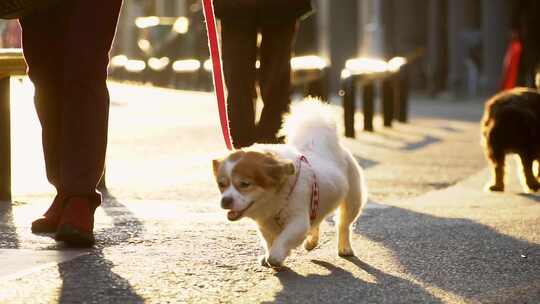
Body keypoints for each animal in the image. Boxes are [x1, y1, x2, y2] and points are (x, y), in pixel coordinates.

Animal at [211, 98, 368, 268]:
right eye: (221, 185)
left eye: (245, 184)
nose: (225, 200)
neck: (274, 198)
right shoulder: (264, 224)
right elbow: (269, 240)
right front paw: (268, 254)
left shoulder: (298, 221)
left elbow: (283, 240)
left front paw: (275, 257)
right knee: (316, 220)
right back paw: (311, 241)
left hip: (353, 201)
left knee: (343, 224)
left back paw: (344, 248)